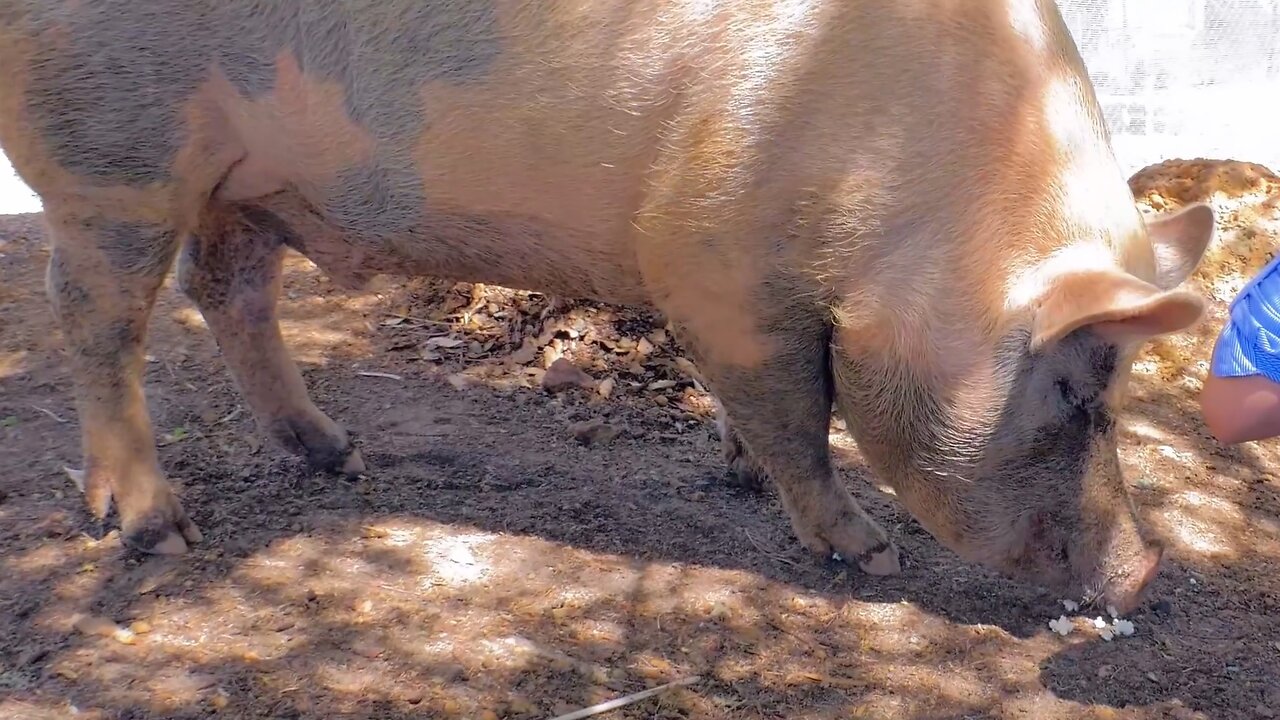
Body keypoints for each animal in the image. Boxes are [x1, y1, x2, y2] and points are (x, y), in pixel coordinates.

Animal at [0, 0, 1213, 609]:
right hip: (112, 154)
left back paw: (337, 455)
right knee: (96, 315)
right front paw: (871, 557)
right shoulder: (711, 262)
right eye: (1075, 385)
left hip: (237, 183)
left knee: (226, 289)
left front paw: (735, 471)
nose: (1150, 568)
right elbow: (796, 415)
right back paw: (156, 533)